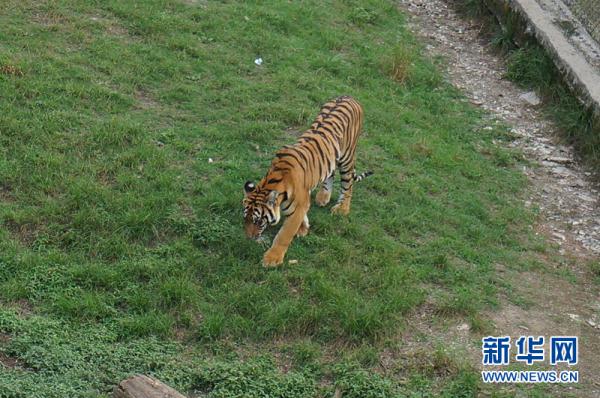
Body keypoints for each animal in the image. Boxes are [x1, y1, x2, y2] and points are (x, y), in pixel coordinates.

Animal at [244, 95, 370, 266]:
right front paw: (303, 228)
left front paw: (272, 259)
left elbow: (285, 234)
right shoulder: (302, 201)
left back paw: (342, 209)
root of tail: (349, 96)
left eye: (257, 221)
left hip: (347, 158)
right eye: (246, 218)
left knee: (348, 184)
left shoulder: (298, 206)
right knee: (330, 174)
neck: (273, 181)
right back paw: (323, 197)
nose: (249, 238)